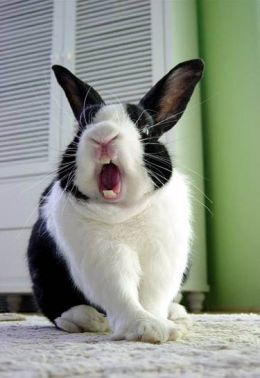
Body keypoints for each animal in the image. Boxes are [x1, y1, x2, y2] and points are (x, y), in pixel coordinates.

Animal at [27, 59, 204, 342]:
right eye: (81, 129)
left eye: (145, 129)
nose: (103, 135)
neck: (124, 212)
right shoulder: (103, 257)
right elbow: (121, 294)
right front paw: (147, 328)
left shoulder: (162, 259)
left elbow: (153, 298)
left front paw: (162, 325)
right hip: (42, 270)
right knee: (53, 307)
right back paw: (85, 319)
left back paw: (177, 313)